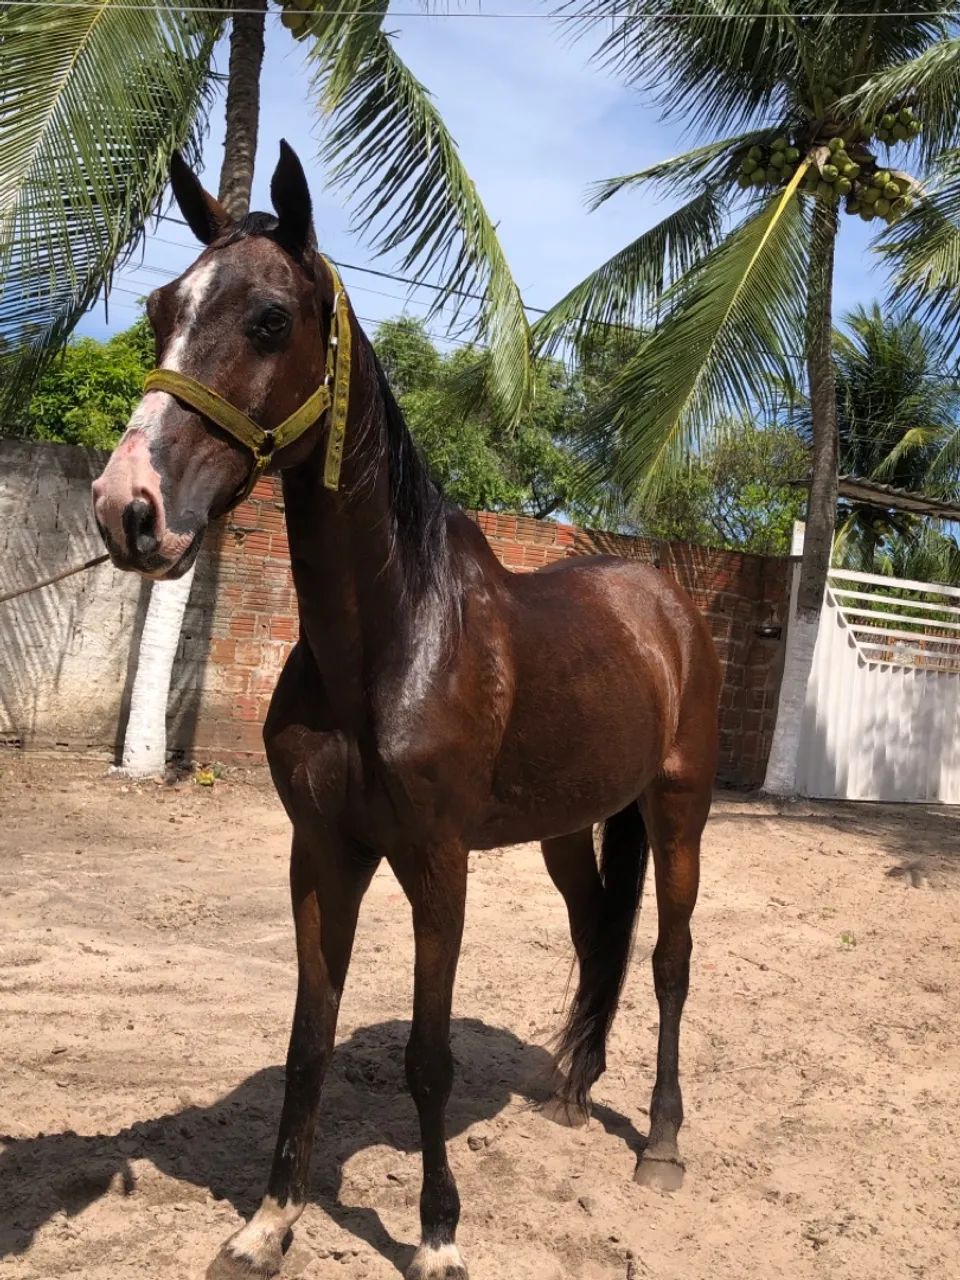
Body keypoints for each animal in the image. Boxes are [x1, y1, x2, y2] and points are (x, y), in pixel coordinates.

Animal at [92, 142, 720, 1280]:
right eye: (162, 307)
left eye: (269, 320)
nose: (128, 510)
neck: (389, 641)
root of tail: (664, 604)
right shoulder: (323, 851)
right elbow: (309, 1039)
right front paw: (268, 1222)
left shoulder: (437, 860)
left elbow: (430, 1055)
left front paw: (436, 1235)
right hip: (569, 828)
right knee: (595, 933)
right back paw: (570, 1090)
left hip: (680, 811)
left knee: (668, 961)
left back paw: (660, 1141)